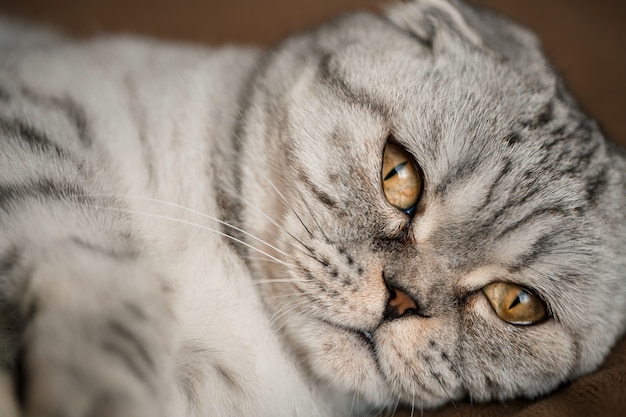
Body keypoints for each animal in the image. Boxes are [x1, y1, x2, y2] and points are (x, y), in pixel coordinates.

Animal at [1, 0, 624, 414]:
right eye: (399, 175)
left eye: (516, 303)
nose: (400, 299)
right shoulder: (34, 129)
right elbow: (103, 290)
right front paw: (100, 387)